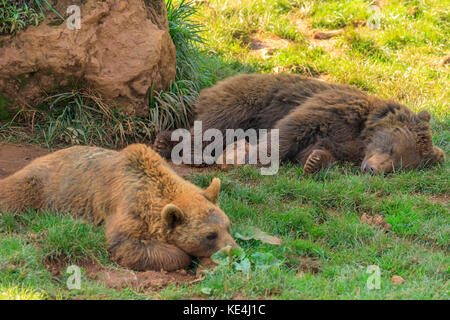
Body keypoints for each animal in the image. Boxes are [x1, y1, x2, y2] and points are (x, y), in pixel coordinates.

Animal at [0, 144, 237, 272]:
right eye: (210, 235)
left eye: (228, 227)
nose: (234, 249)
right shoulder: (128, 205)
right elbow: (125, 243)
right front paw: (184, 257)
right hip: (40, 184)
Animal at [154, 74, 442, 175]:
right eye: (392, 150)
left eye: (399, 166)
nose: (372, 169)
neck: (363, 134)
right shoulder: (335, 108)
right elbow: (289, 129)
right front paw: (254, 158)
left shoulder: (343, 144)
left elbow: (317, 152)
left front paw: (315, 161)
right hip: (244, 99)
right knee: (215, 124)